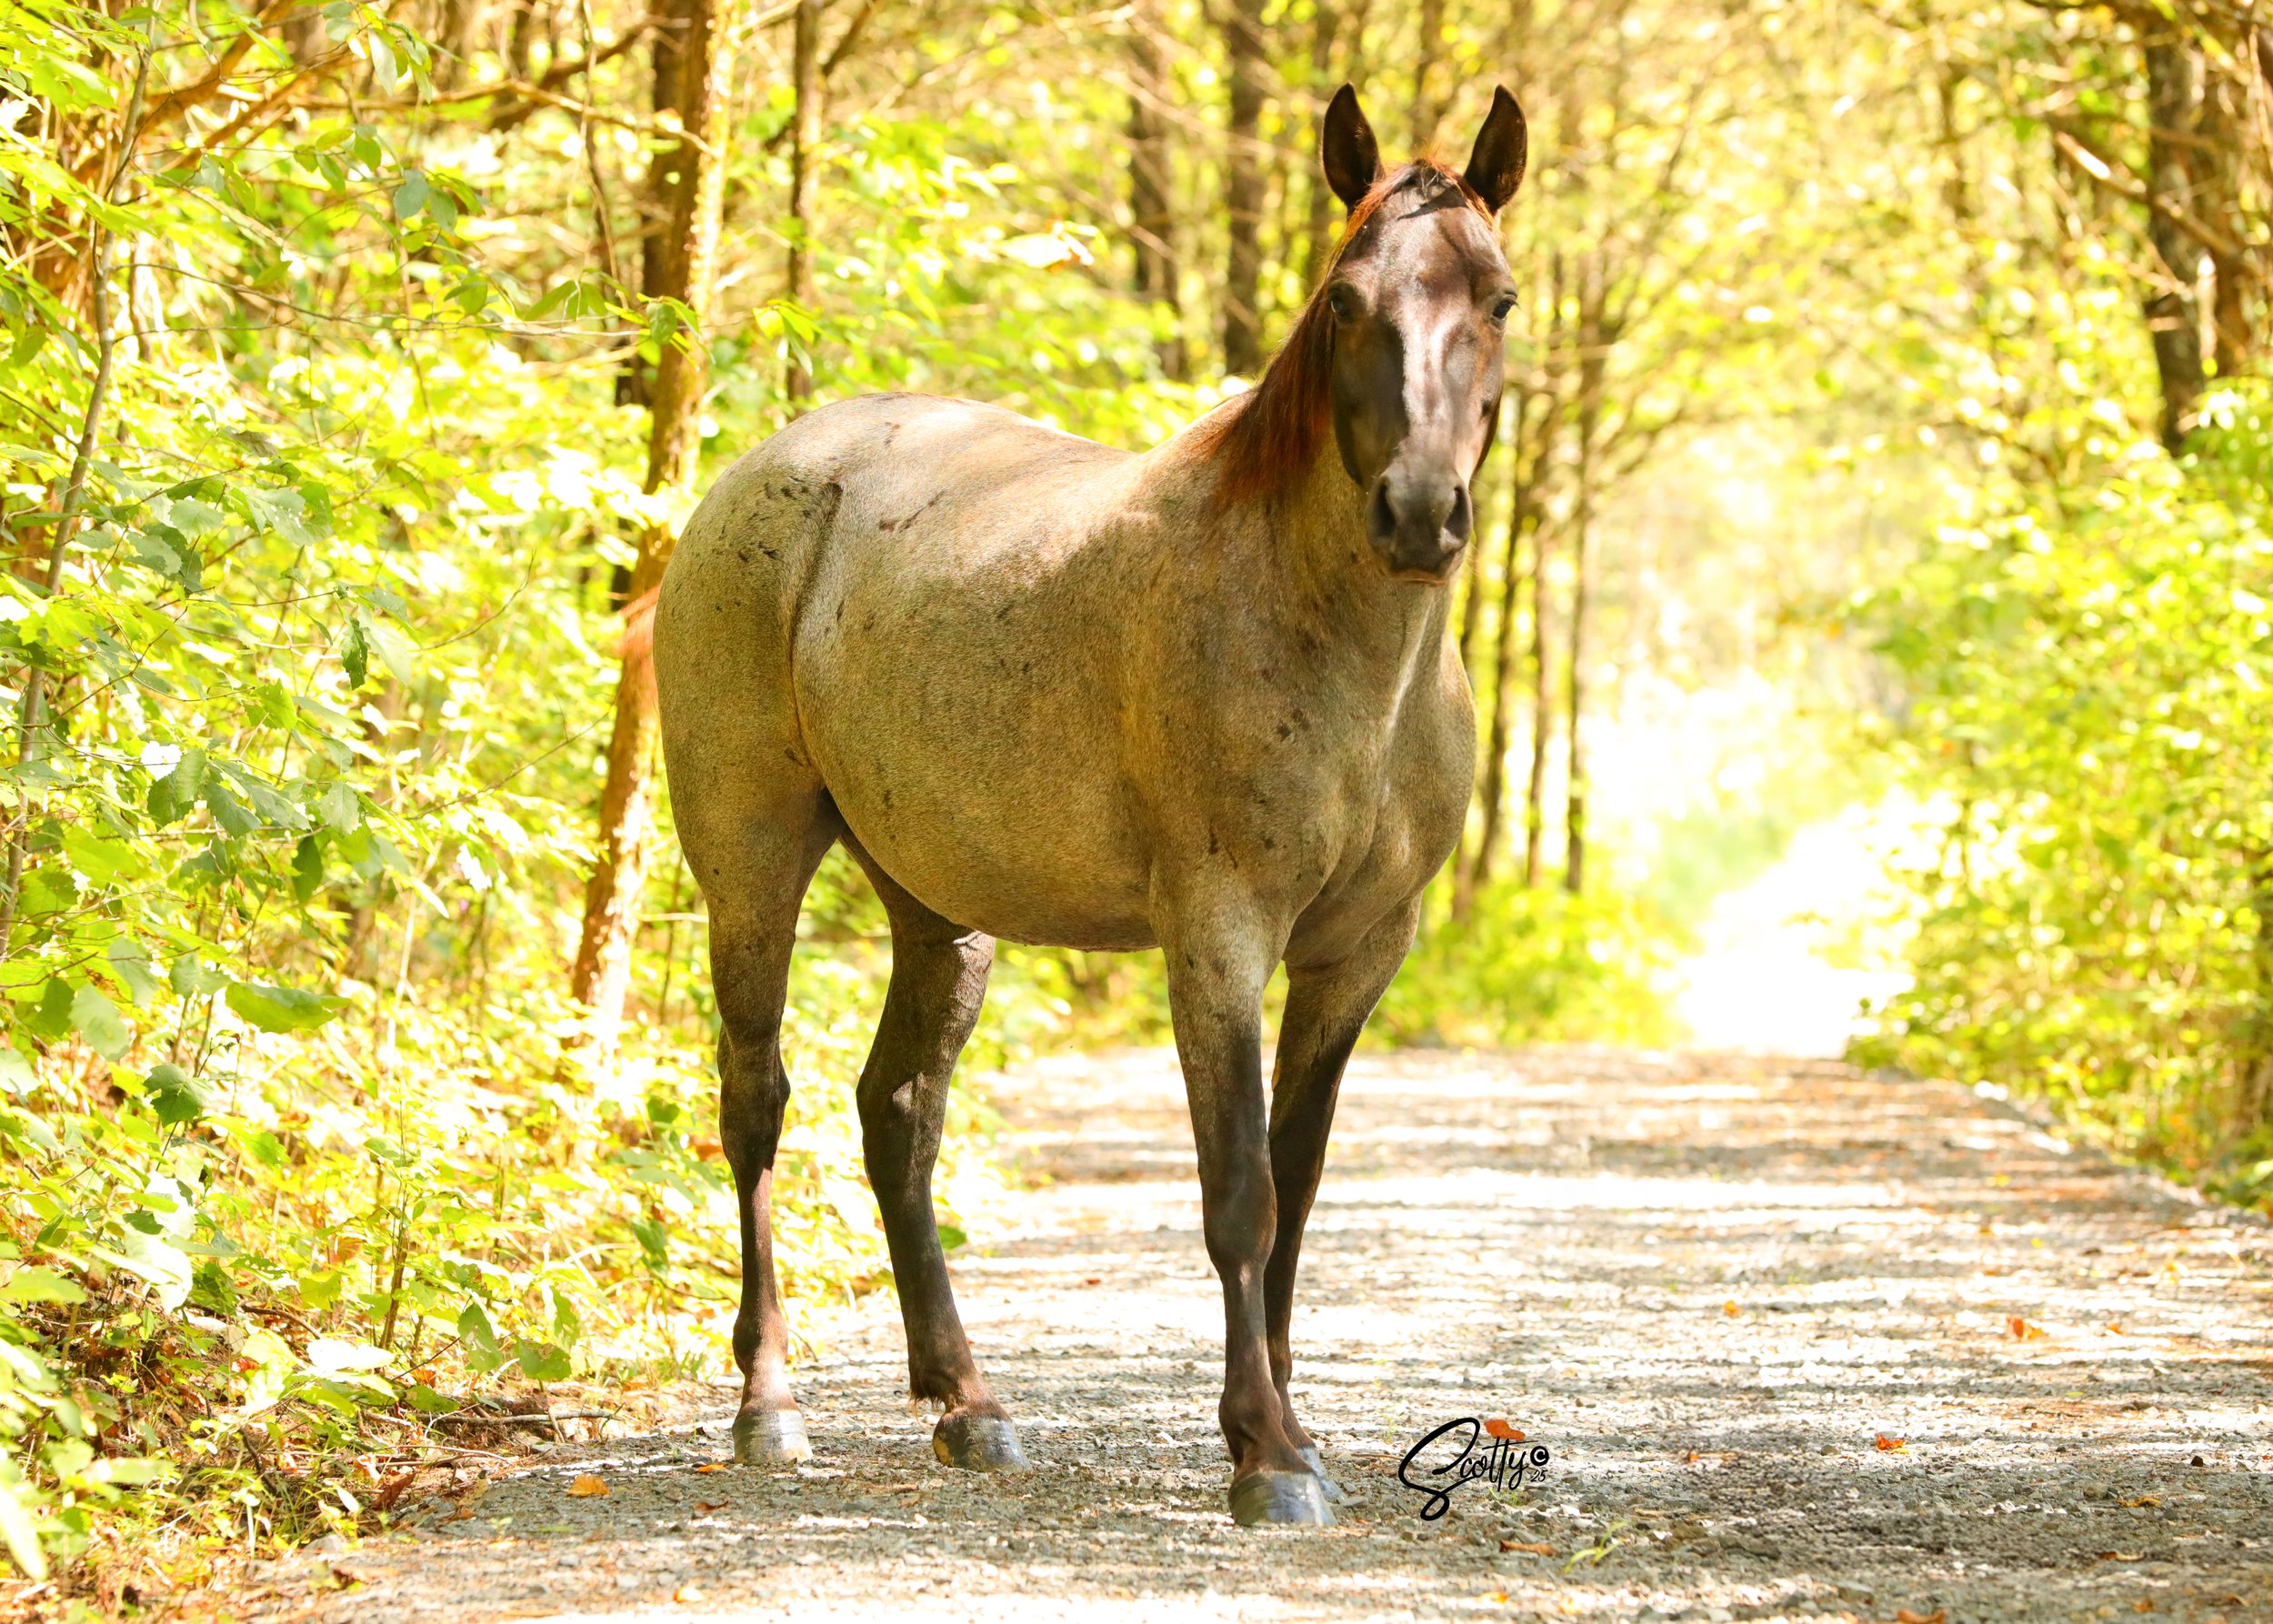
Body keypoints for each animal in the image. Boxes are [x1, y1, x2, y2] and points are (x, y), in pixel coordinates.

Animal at [653, 82, 1528, 1528]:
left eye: (1498, 298)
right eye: (1347, 300)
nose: (1418, 514)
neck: (1329, 638)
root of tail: (762, 472)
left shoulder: (1359, 953)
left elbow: (1299, 1178)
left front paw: (1286, 1427)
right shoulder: (1218, 933)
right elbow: (1240, 1191)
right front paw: (1266, 1456)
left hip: (938, 910)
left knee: (896, 1114)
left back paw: (969, 1405)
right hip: (752, 865)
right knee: (754, 1103)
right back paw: (768, 1402)